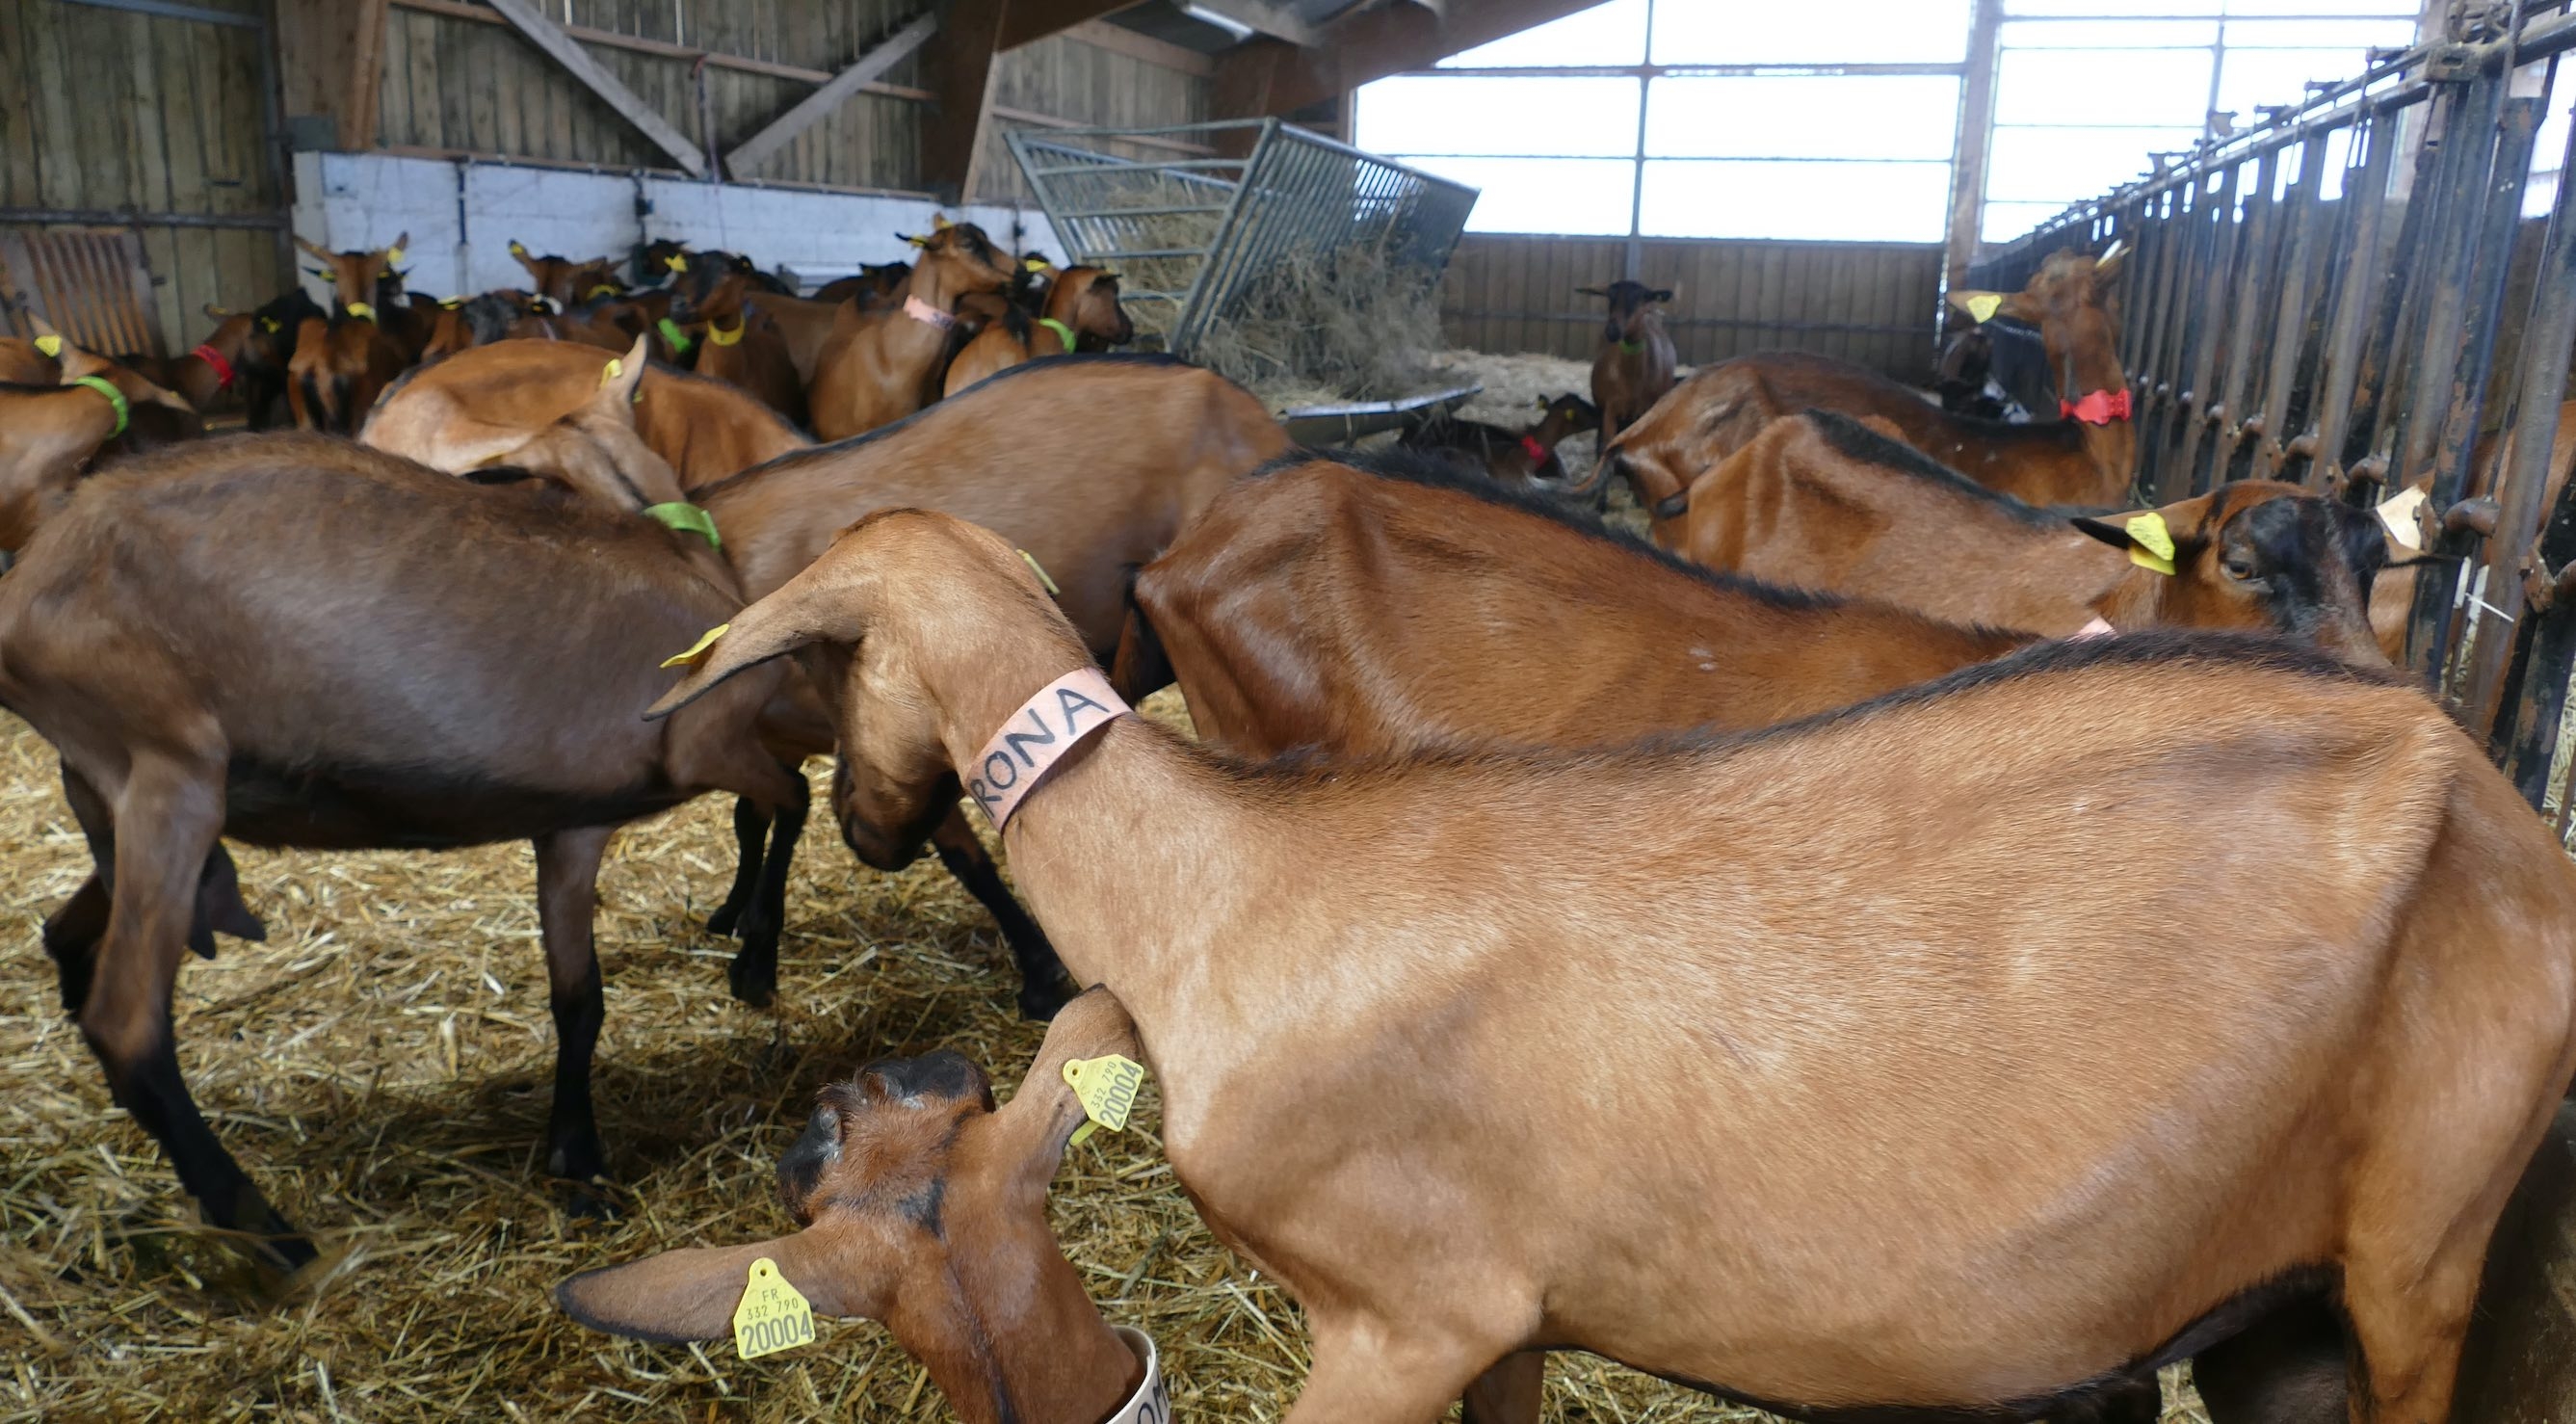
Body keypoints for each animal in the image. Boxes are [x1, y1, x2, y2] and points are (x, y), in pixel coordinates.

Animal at [0, 391, 803, 1277]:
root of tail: (26, 584)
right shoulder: (700, 744)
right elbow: (786, 802)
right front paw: (753, 959)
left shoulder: (568, 825)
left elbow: (576, 996)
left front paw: (574, 1152)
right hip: (171, 770)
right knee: (127, 1022)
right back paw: (268, 1229)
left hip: (118, 793)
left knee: (67, 937)